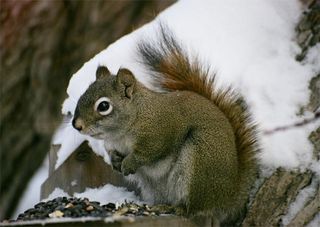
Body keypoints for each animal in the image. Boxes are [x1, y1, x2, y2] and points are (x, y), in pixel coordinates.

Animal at [72, 26, 258, 223]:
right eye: (84, 93)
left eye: (103, 106)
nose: (77, 125)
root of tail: (229, 196)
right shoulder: (112, 143)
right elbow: (112, 152)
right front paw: (115, 160)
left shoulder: (160, 131)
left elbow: (149, 151)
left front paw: (129, 162)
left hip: (200, 161)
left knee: (193, 208)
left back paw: (177, 208)